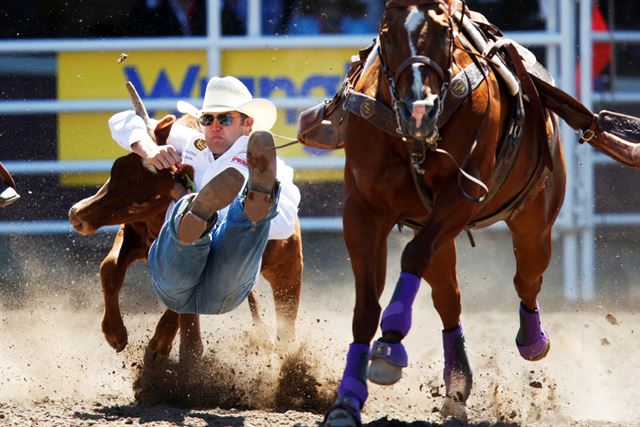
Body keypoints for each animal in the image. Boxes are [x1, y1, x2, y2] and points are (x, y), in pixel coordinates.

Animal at [328, 1, 568, 426]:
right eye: (387, 33)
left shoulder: (462, 196)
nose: (418, 110)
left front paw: (390, 344)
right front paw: (347, 400)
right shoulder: (362, 210)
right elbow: (365, 308)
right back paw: (457, 382)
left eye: (443, 32)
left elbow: (411, 257)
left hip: (534, 222)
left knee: (526, 278)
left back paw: (533, 341)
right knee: (448, 297)